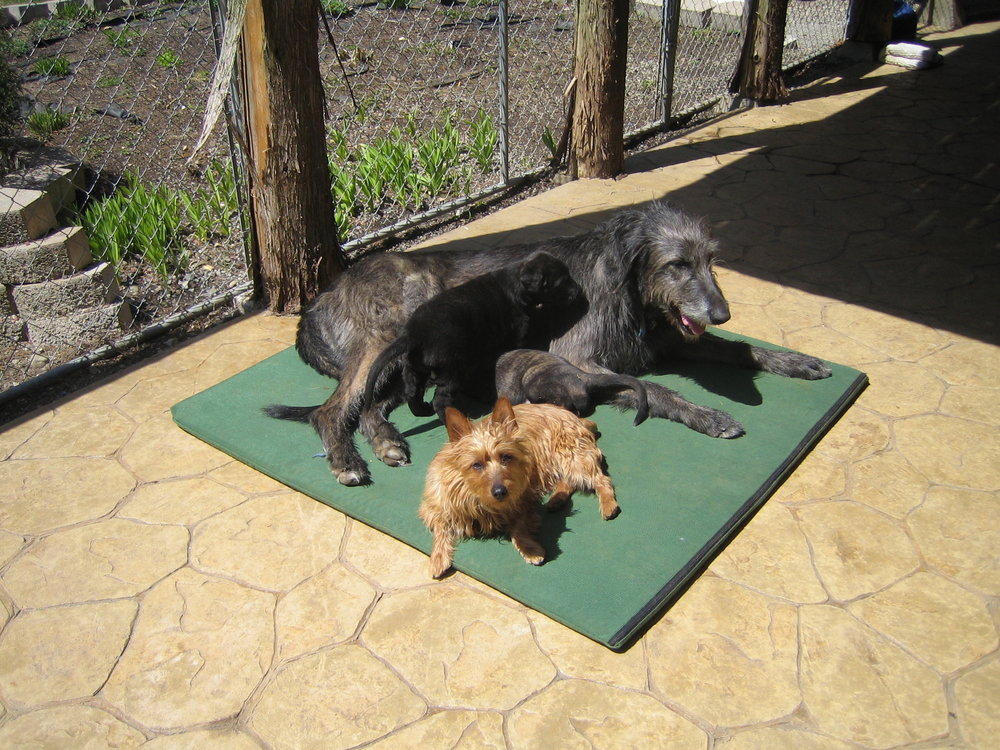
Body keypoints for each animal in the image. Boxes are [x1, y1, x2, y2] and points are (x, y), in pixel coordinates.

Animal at [362, 254, 584, 424]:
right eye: (562, 282)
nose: (578, 291)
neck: (515, 282)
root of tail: (413, 334)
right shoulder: (520, 333)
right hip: (449, 372)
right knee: (440, 401)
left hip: (414, 370)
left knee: (412, 394)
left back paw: (423, 410)